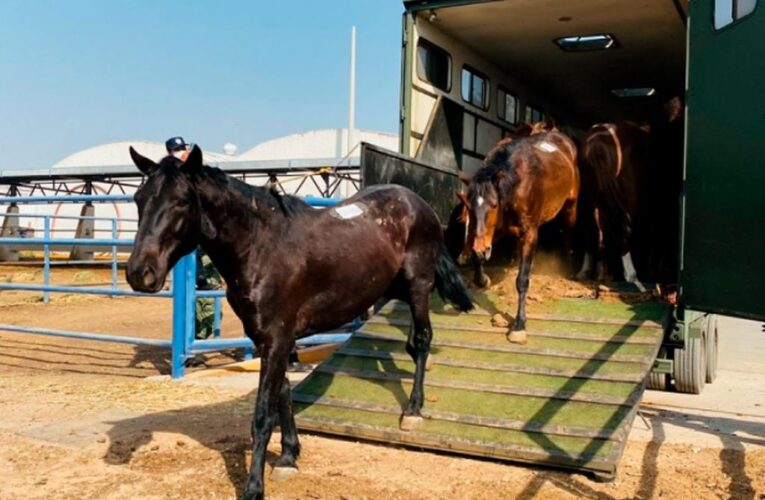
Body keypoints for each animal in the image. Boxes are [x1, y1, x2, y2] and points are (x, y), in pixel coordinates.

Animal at [124, 146, 472, 500]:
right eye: (139, 198)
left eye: (181, 201)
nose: (140, 273)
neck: (261, 246)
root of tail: (418, 203)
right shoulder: (269, 338)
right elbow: (283, 392)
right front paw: (289, 456)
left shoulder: (277, 339)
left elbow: (263, 415)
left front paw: (254, 487)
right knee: (413, 341)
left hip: (418, 286)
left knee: (423, 339)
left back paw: (413, 409)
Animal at [456, 129, 576, 344]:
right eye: (468, 206)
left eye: (493, 205)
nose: (481, 248)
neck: (515, 183)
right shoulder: (498, 230)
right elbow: (479, 259)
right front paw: (483, 279)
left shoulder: (529, 234)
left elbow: (522, 280)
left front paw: (519, 325)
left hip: (571, 204)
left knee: (568, 233)